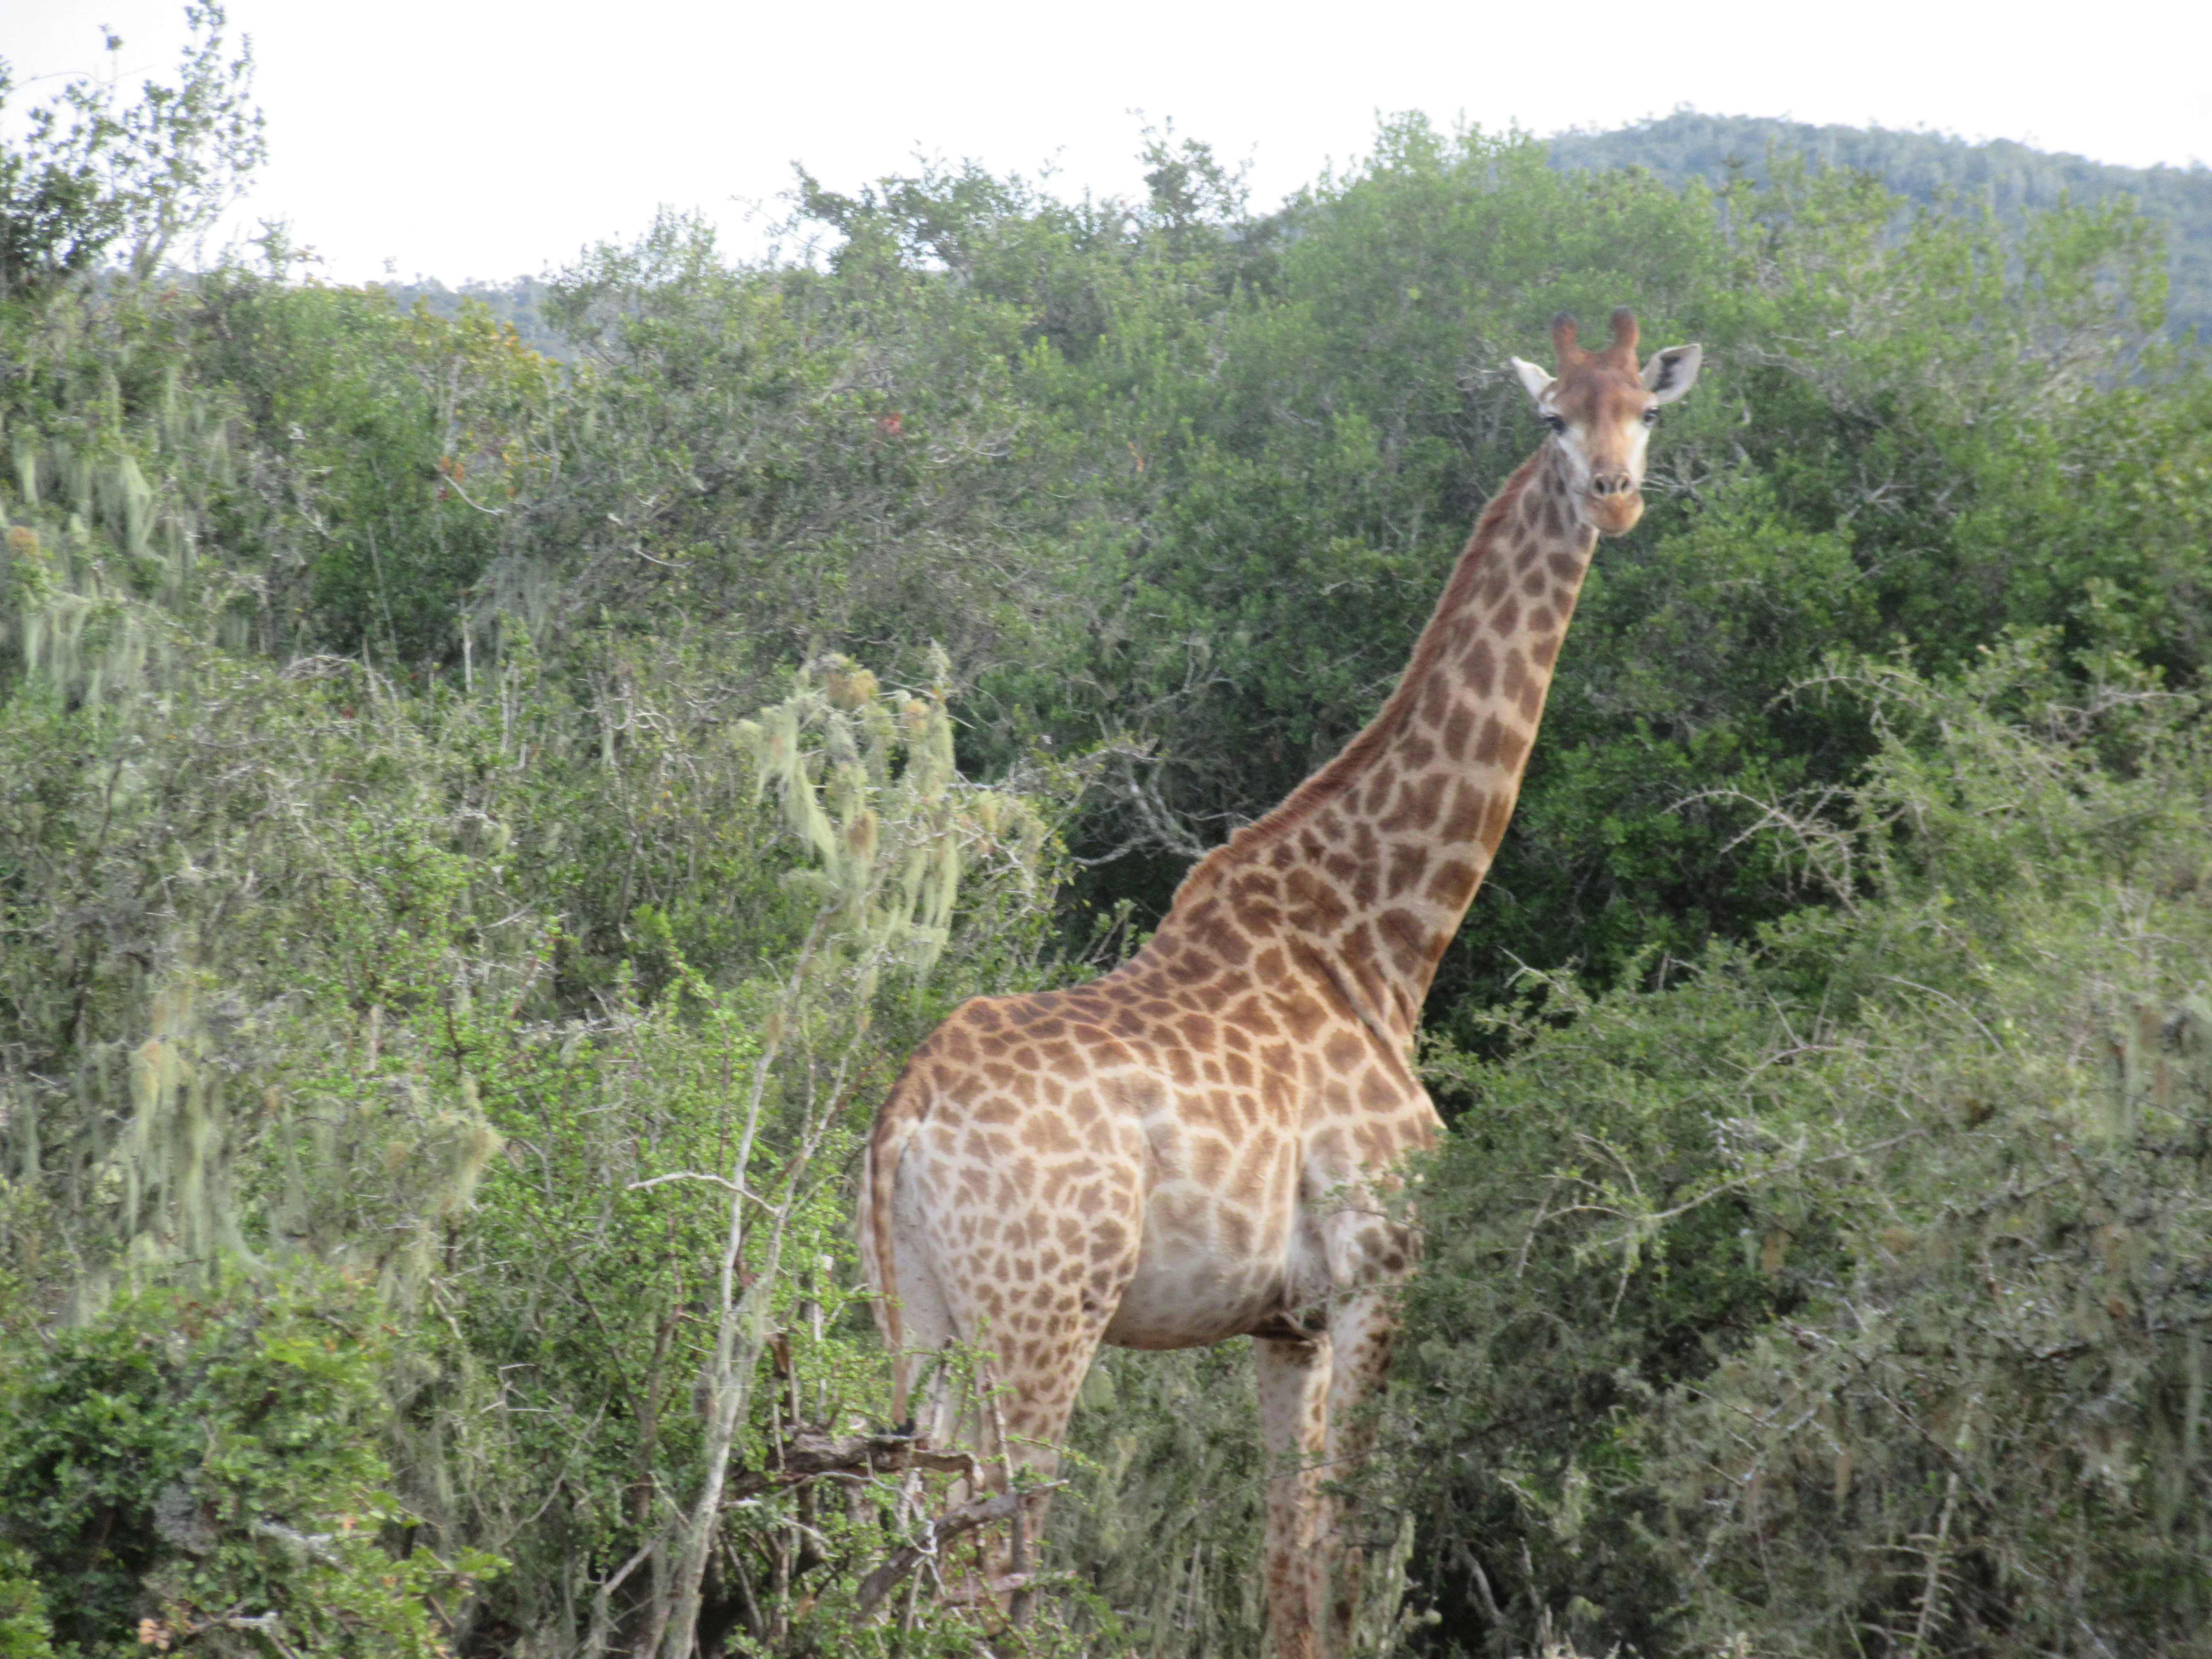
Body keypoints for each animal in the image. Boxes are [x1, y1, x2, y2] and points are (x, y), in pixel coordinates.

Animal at [860, 307, 1702, 1655]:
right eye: (1552, 418)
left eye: (1647, 410)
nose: (1614, 499)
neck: (1379, 937)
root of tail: (903, 1119)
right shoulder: (1381, 1267)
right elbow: (1349, 1547)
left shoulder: (1284, 1323)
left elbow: (1285, 1565)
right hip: (1041, 1319)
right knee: (999, 1565)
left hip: (918, 1320)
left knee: (900, 1543)